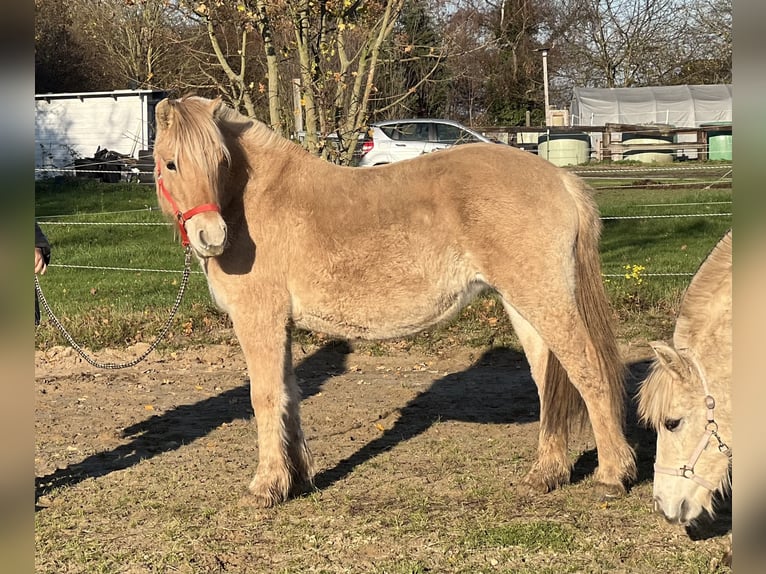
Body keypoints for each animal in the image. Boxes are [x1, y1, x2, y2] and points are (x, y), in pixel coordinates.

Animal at [152, 95, 636, 507]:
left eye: (220, 162)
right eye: (171, 163)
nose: (211, 236)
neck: (256, 201)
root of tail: (562, 180)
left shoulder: (259, 320)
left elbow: (265, 396)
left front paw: (266, 486)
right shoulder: (281, 326)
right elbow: (290, 395)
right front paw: (298, 479)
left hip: (546, 299)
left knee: (589, 372)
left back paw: (613, 475)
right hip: (523, 305)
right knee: (548, 380)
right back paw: (546, 474)